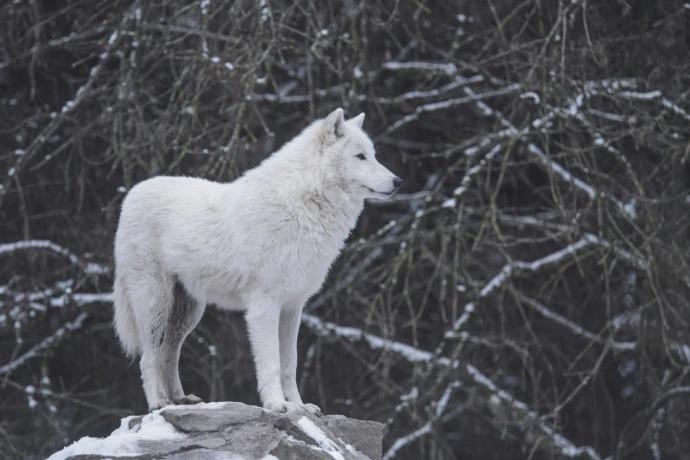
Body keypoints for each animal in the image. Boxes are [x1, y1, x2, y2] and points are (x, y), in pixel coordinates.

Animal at [112, 108, 401, 413]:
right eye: (360, 156)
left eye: (374, 155)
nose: (398, 182)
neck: (302, 205)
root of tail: (132, 193)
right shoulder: (264, 305)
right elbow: (271, 362)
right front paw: (277, 405)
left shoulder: (293, 307)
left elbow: (289, 365)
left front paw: (300, 406)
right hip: (155, 304)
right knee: (149, 357)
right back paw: (159, 402)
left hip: (188, 312)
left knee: (170, 353)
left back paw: (180, 400)